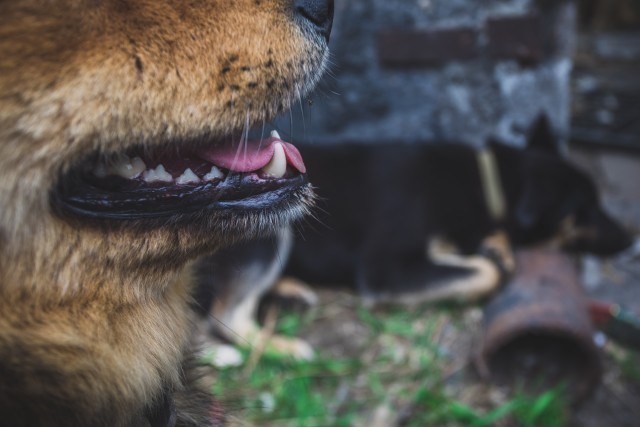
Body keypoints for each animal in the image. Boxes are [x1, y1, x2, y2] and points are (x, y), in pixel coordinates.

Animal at [198, 114, 632, 358]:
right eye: (587, 208)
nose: (631, 239)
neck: (486, 182)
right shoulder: (386, 268)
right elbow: (487, 272)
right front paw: (491, 258)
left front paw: (494, 248)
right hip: (270, 222)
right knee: (226, 316)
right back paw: (282, 348)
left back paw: (291, 292)